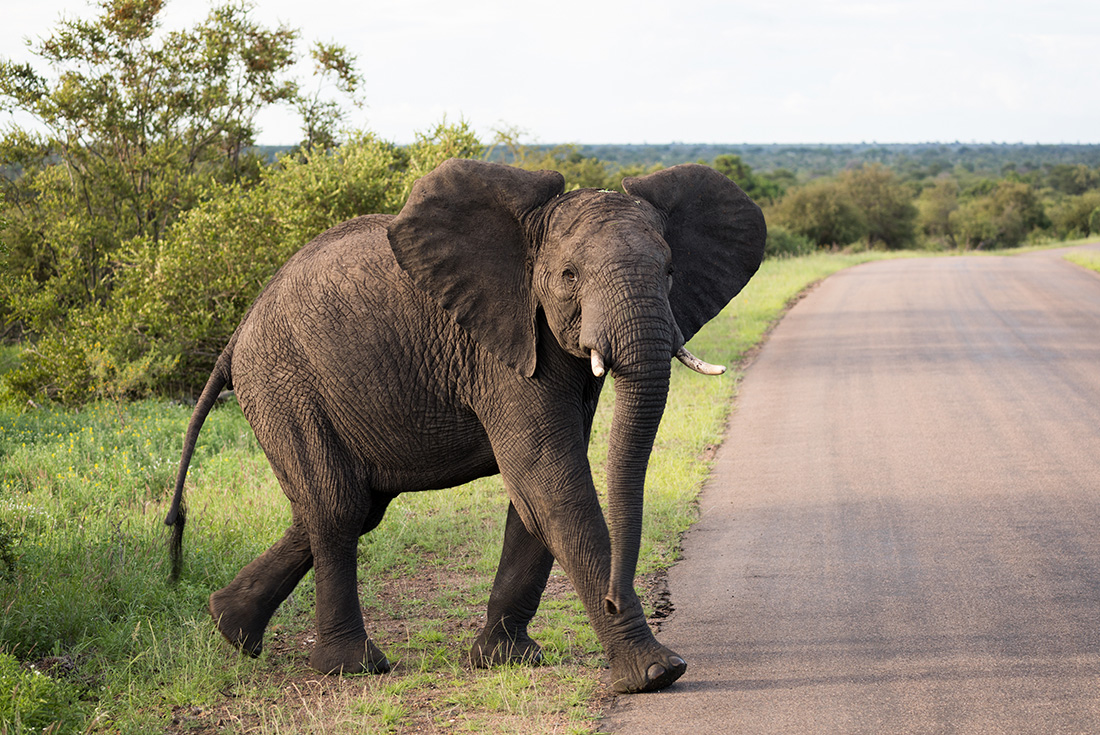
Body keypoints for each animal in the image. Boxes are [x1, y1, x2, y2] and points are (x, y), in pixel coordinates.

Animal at [164, 158, 765, 694]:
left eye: (670, 272)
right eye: (569, 276)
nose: (618, 598)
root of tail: (236, 335)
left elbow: (533, 492)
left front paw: (505, 661)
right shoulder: (500, 349)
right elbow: (551, 482)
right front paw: (656, 674)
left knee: (343, 506)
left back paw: (229, 626)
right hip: (284, 382)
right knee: (337, 508)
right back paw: (351, 669)